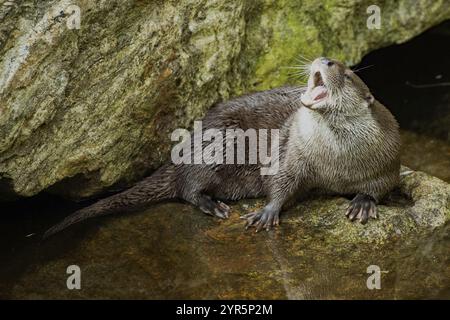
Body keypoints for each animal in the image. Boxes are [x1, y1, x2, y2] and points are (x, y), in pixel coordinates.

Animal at [44, 57, 400, 238]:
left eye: (350, 74)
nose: (325, 59)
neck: (334, 162)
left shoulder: (388, 157)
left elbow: (383, 184)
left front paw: (364, 202)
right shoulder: (292, 153)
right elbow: (281, 183)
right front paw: (268, 211)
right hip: (220, 142)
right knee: (187, 186)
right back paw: (212, 205)